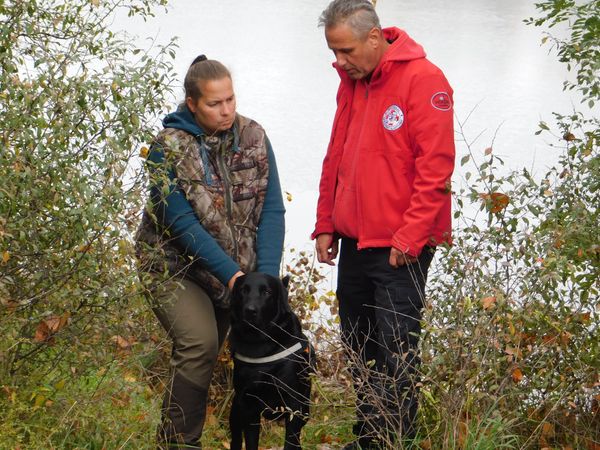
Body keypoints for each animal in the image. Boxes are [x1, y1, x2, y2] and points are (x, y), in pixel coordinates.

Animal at [229, 272, 314, 448]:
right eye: (243, 290)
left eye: (267, 292)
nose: (250, 311)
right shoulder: (248, 405)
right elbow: (251, 442)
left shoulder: (294, 407)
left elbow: (290, 443)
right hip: (235, 411)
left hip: (305, 410)